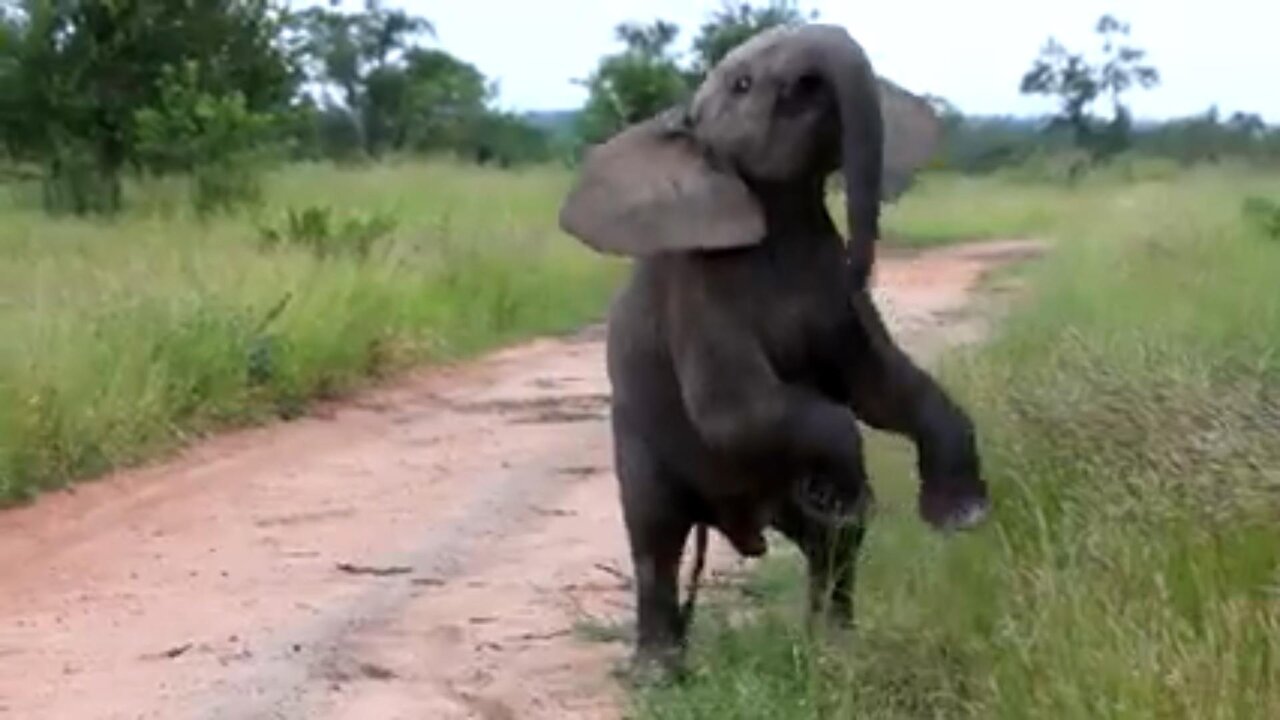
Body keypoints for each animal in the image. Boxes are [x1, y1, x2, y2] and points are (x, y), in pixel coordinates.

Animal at [555, 22, 983, 671]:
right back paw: (660, 673)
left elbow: (880, 387)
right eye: (743, 84)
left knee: (824, 542)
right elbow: (736, 410)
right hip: (639, 444)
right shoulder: (697, 292)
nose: (865, 271)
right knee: (656, 537)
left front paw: (960, 517)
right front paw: (847, 486)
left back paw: (833, 646)